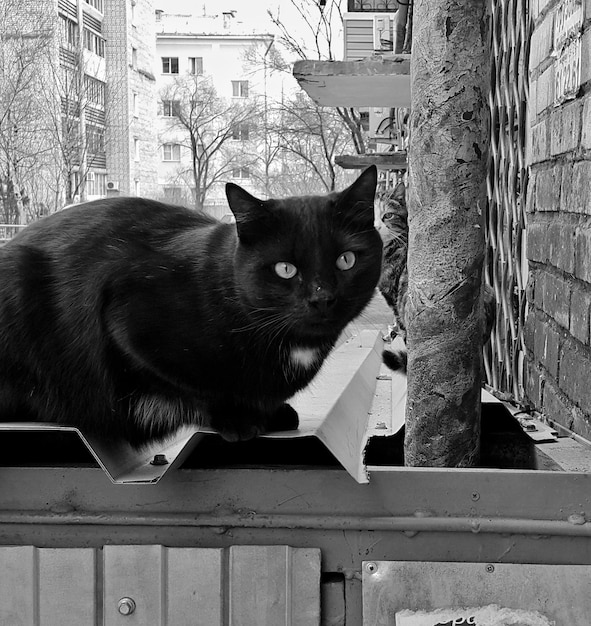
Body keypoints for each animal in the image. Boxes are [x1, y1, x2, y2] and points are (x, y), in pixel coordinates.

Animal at [0, 166, 384, 446]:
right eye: (285, 269)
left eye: (346, 260)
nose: (322, 298)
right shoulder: (128, 322)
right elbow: (197, 389)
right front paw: (239, 418)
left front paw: (272, 412)